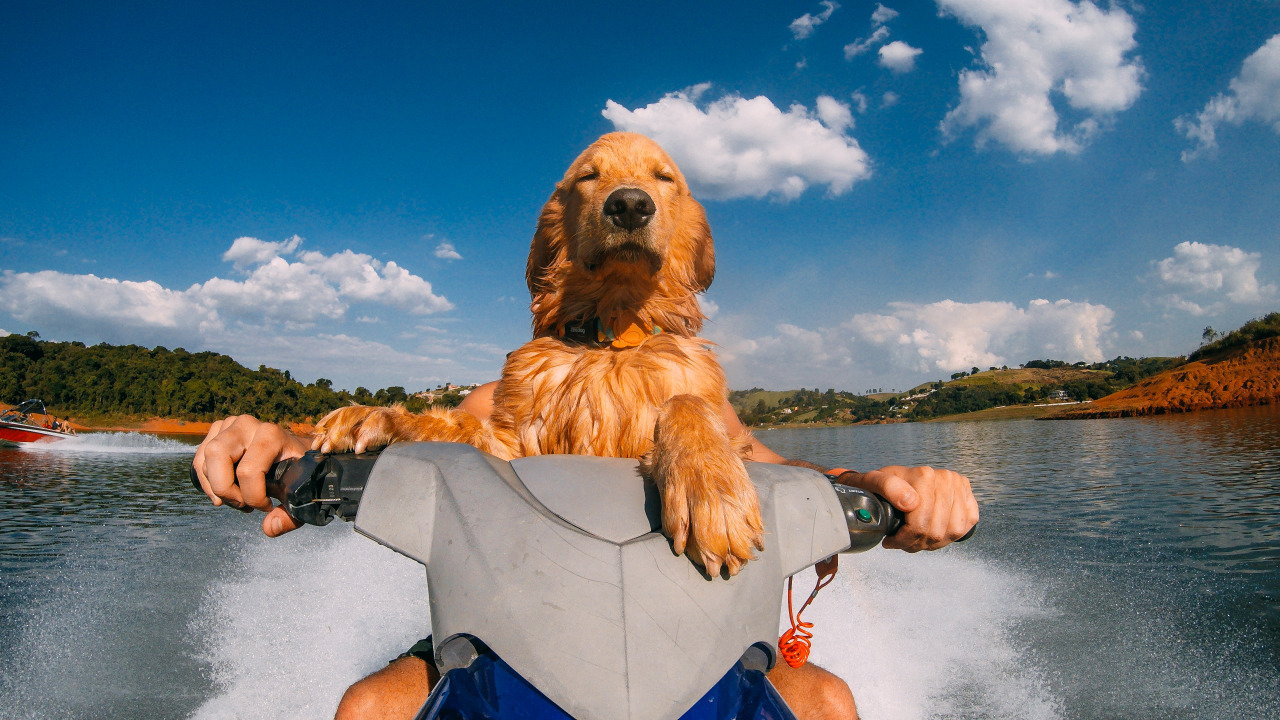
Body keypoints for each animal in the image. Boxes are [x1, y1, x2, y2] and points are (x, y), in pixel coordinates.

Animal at [314, 131, 762, 573]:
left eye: (664, 177)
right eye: (588, 176)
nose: (631, 206)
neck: (612, 337)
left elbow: (686, 402)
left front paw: (711, 484)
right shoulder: (516, 446)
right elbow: (456, 429)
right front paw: (377, 416)